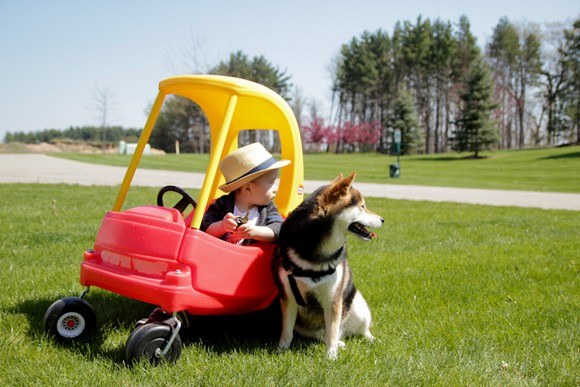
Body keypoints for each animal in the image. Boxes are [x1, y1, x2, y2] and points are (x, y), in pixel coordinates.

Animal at [274, 173, 382, 360]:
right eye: (362, 207)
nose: (382, 219)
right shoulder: (288, 295)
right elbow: (286, 330)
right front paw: (281, 350)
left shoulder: (333, 298)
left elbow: (332, 330)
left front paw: (331, 356)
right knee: (327, 334)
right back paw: (340, 343)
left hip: (358, 309)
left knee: (357, 330)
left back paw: (370, 339)